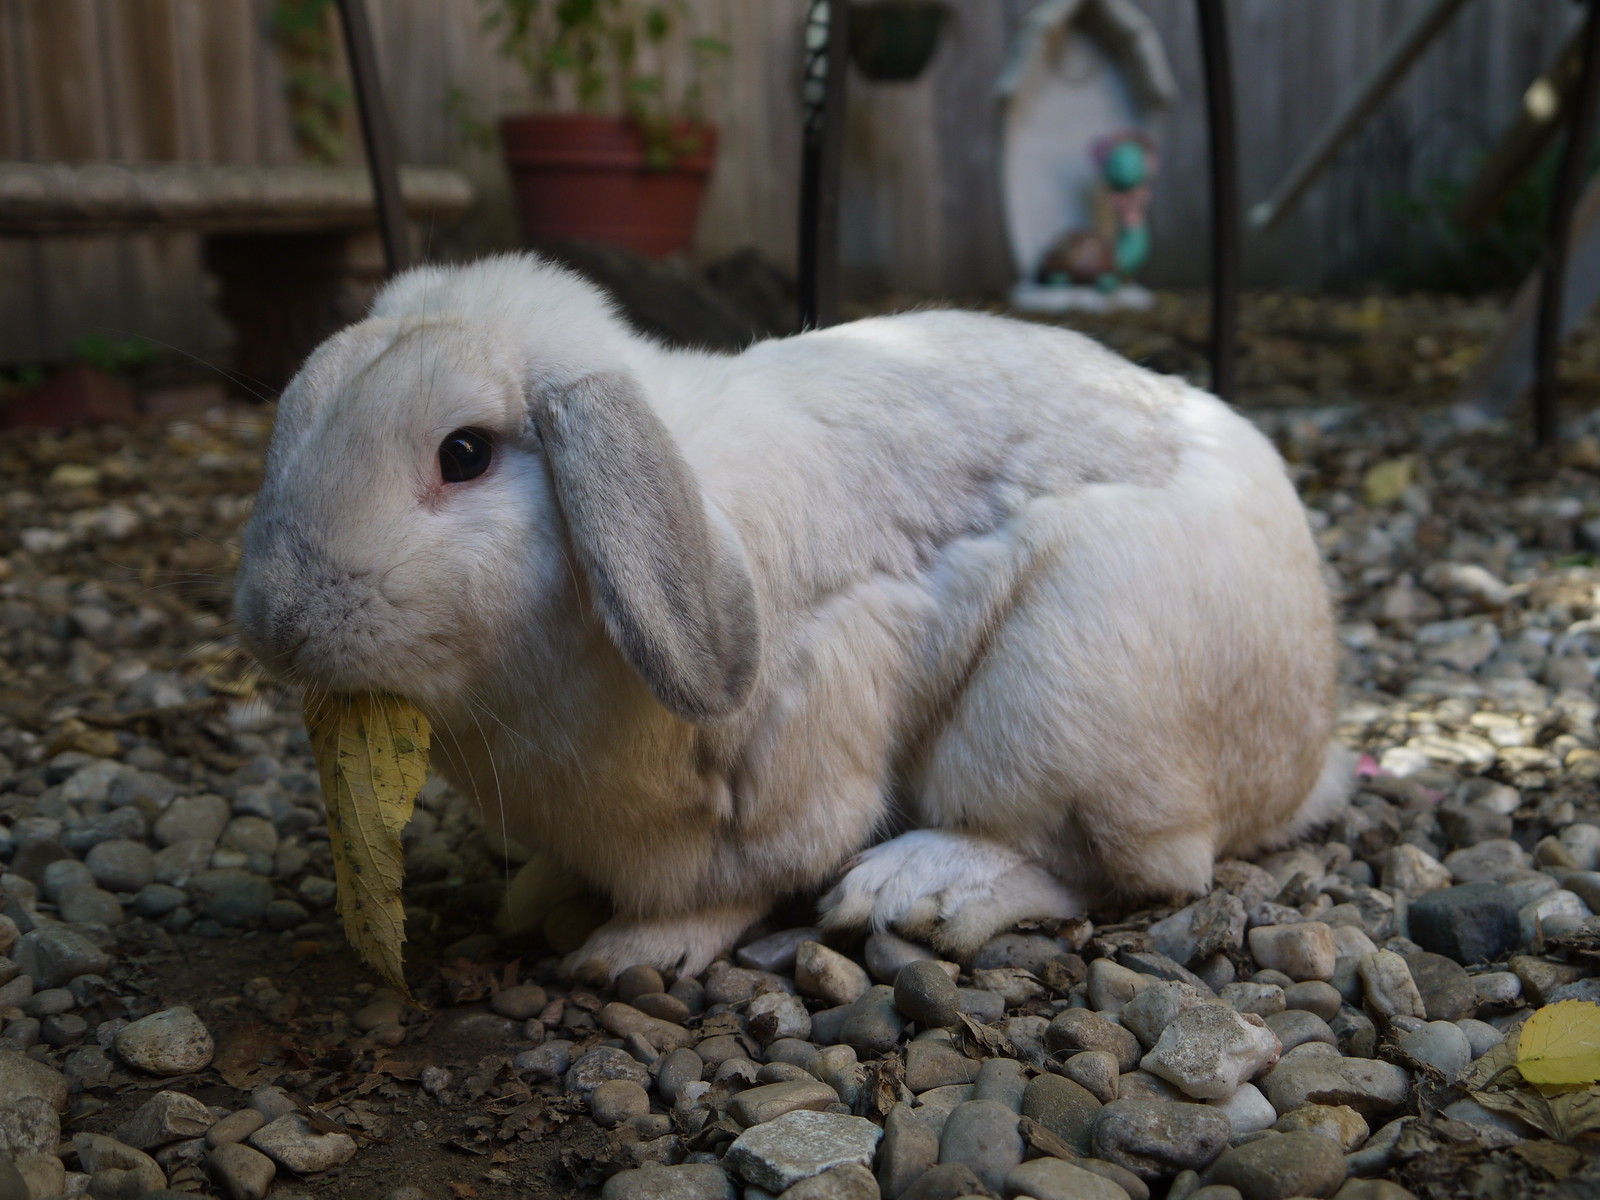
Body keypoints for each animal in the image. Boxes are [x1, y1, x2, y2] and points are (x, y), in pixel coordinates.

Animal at [234, 252, 1348, 982]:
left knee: (1119, 868)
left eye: (462, 454)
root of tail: (1298, 769)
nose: (272, 623)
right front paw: (538, 899)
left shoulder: (788, 765)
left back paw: (909, 890)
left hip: (1064, 696)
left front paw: (625, 953)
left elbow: (742, 880)